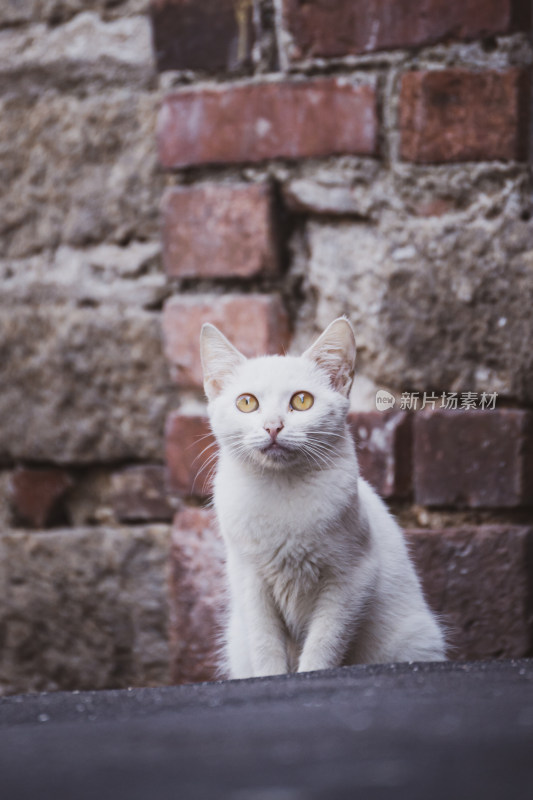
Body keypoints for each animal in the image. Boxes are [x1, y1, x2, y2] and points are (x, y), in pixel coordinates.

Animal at [200, 318, 444, 676]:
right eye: (247, 402)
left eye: (302, 401)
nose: (273, 426)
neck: (282, 489)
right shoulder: (249, 580)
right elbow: (264, 644)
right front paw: (271, 677)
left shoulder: (352, 579)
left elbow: (324, 644)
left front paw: (311, 674)